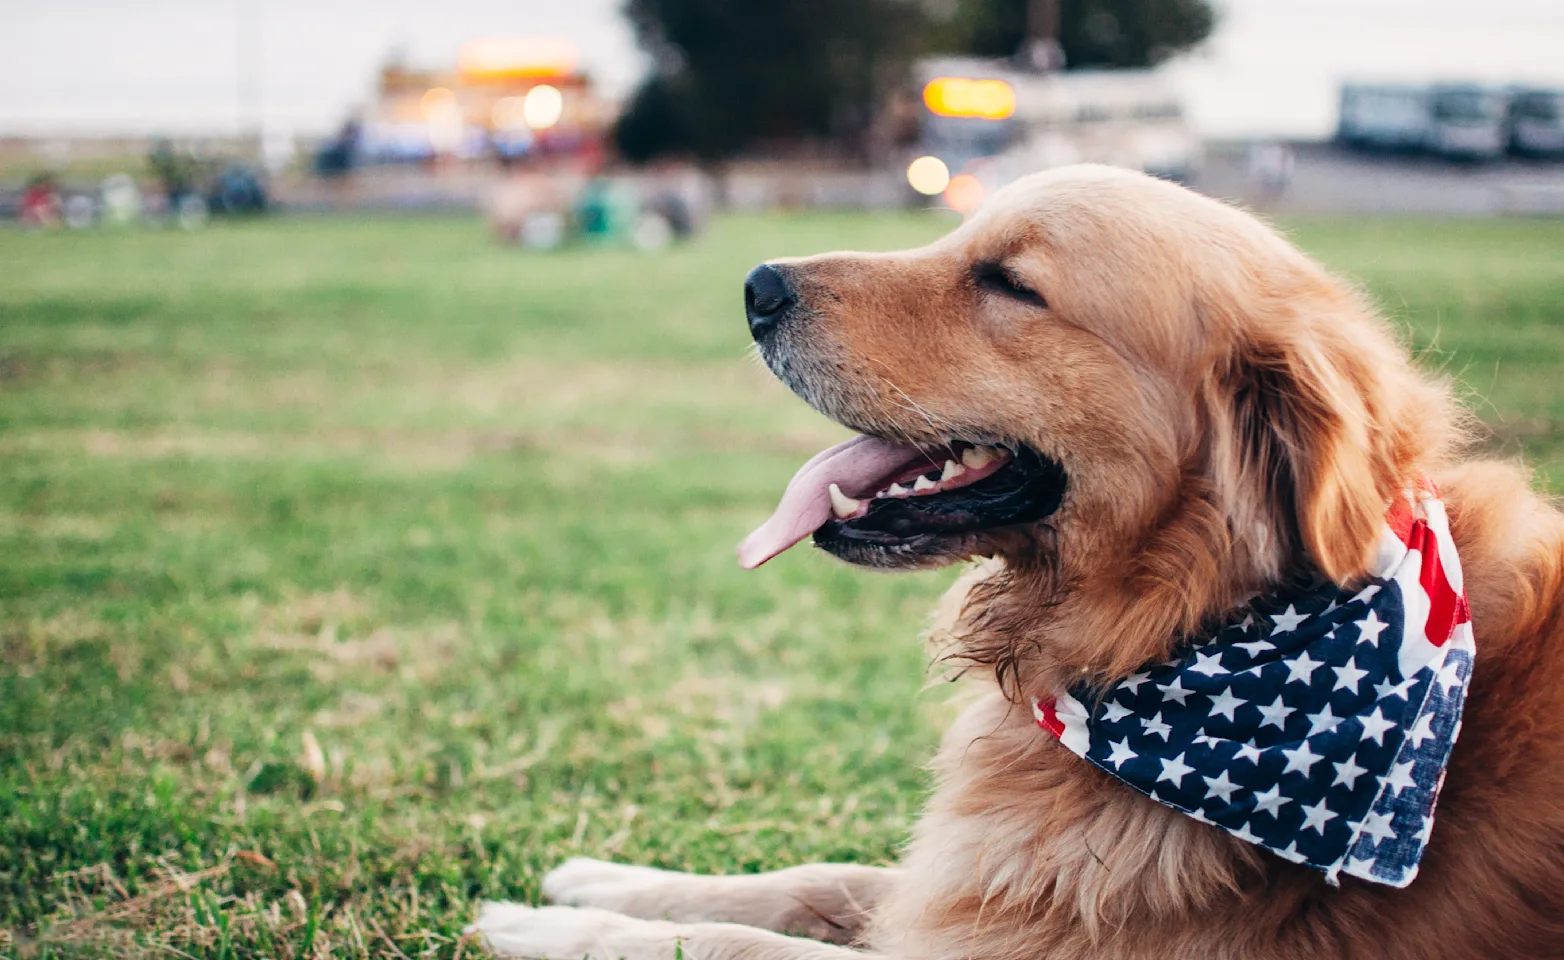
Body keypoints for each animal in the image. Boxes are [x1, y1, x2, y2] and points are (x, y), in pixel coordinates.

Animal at [472, 167, 1564, 960]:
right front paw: (600, 879)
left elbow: (727, 946)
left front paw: (545, 923)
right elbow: (813, 879)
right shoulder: (972, 886)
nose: (755, 287)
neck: (1179, 623)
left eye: (1010, 284)